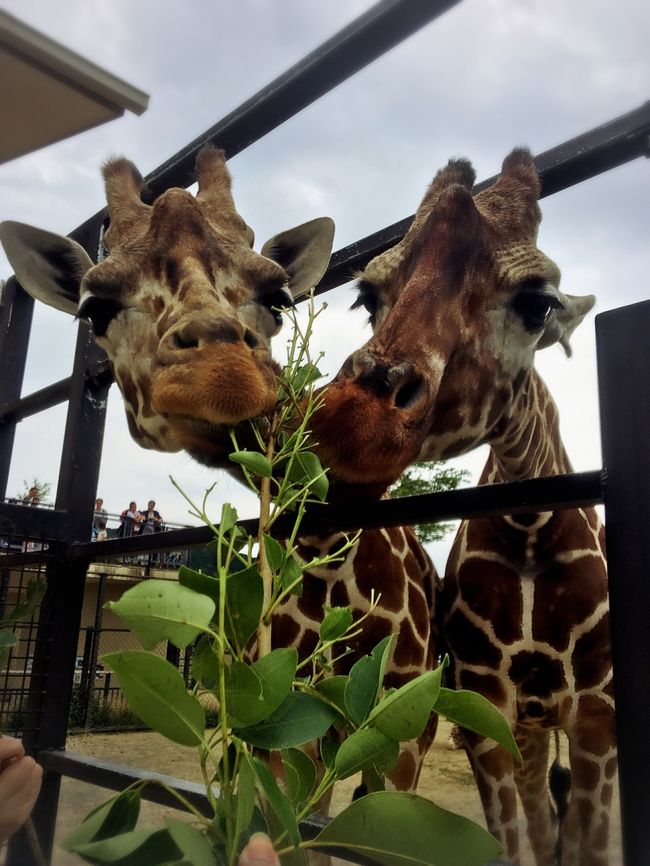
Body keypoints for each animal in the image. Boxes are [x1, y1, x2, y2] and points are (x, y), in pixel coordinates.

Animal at [308, 150, 612, 864]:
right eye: (367, 296)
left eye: (538, 303)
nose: (353, 424)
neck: (530, 528)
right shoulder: (486, 705)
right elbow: (519, 843)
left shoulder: (598, 707)